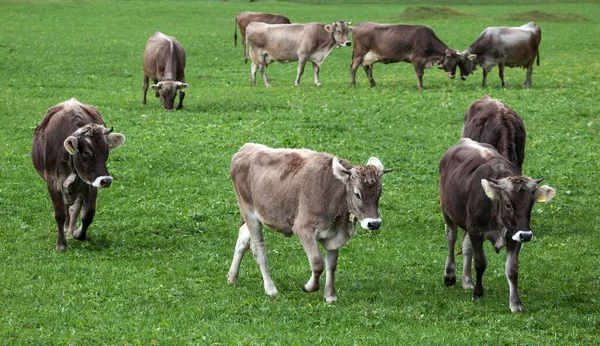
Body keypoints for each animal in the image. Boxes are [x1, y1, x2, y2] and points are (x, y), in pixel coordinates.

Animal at [31, 98, 125, 250]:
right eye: (87, 152)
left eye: (106, 151)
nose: (106, 180)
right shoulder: (53, 183)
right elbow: (60, 214)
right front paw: (61, 244)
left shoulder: (90, 183)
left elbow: (88, 214)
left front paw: (77, 233)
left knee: (74, 207)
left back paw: (70, 230)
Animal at [227, 142, 392, 302]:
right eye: (357, 194)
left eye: (379, 194)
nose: (374, 223)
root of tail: (246, 148)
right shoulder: (303, 229)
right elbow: (318, 263)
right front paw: (309, 286)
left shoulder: (335, 234)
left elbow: (331, 265)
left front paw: (330, 295)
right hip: (249, 211)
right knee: (258, 248)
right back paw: (270, 288)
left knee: (243, 239)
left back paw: (232, 277)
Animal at [438, 138, 556, 314]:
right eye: (508, 204)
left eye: (531, 204)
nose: (526, 235)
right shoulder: (475, 230)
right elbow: (480, 263)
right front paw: (478, 294)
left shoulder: (514, 236)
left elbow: (512, 270)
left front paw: (516, 303)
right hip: (448, 211)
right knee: (451, 237)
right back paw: (450, 275)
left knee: (466, 246)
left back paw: (467, 280)